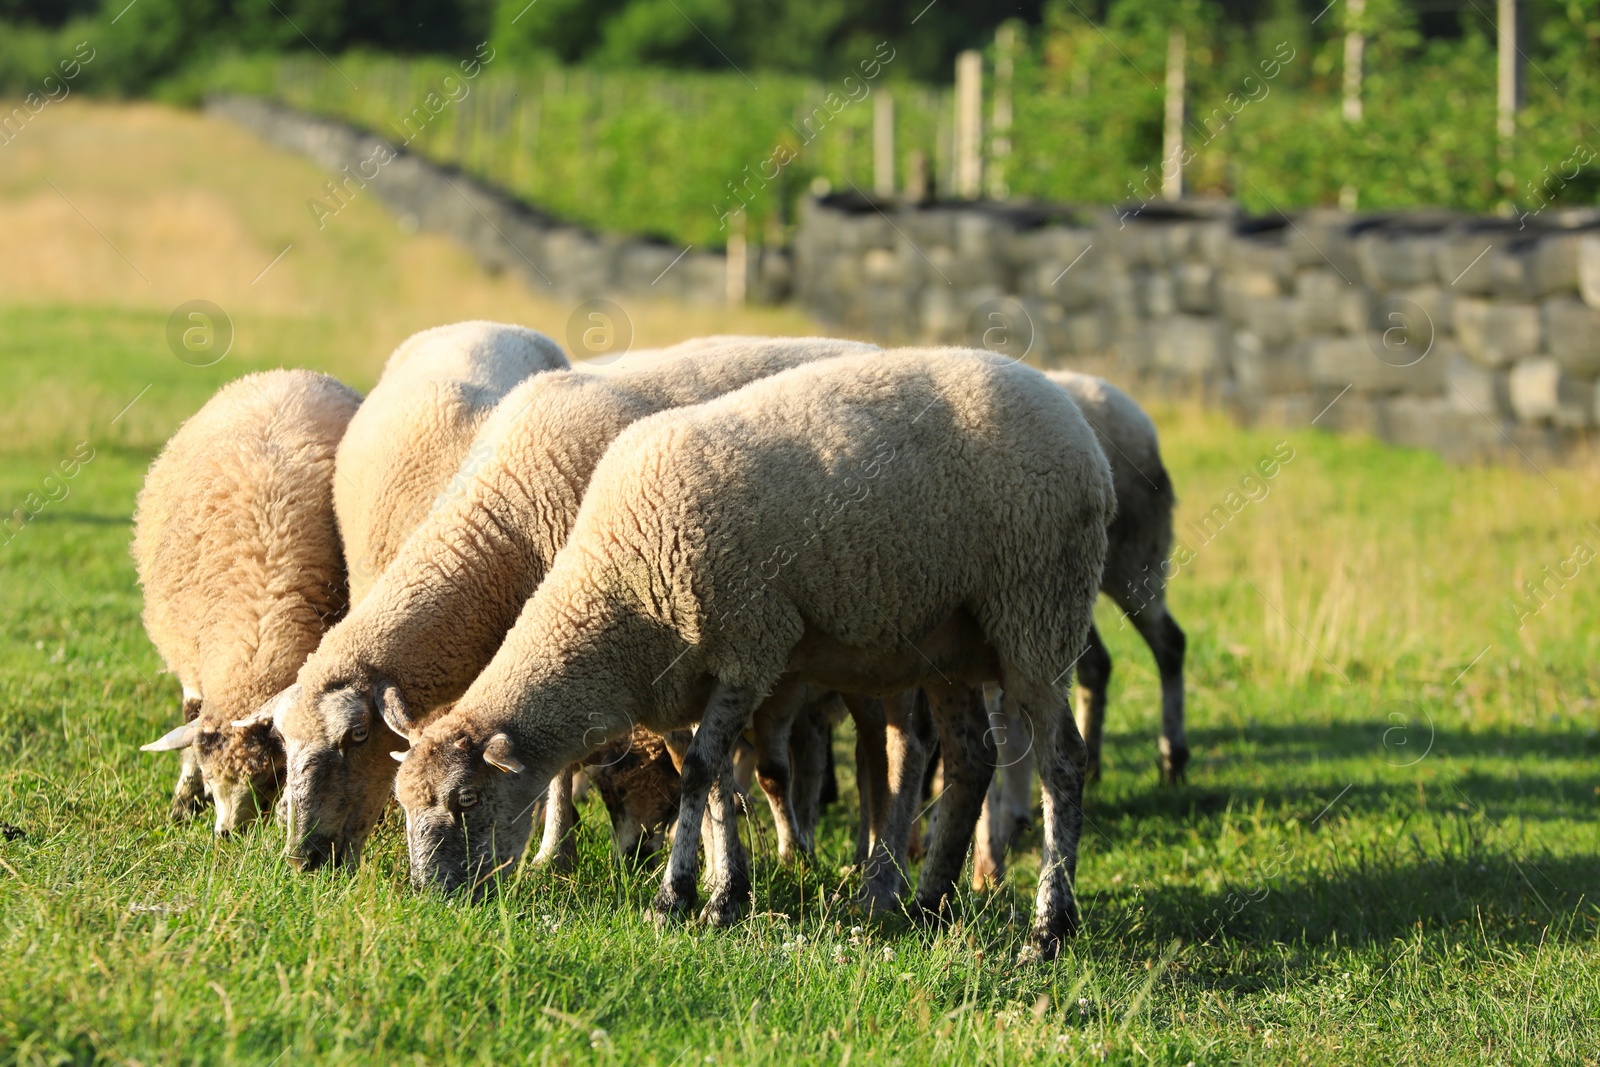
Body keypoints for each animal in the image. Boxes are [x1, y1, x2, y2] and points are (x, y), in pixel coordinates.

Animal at [135, 371, 363, 838]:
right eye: (210, 778)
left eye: (270, 778)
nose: (228, 835)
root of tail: (291, 373)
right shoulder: (192, 664)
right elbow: (191, 722)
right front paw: (184, 801)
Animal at [390, 350, 1113, 959]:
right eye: (403, 804)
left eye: (465, 800)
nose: (431, 897)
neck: (617, 586)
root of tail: (1076, 422)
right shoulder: (684, 681)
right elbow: (709, 783)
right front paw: (725, 890)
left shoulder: (749, 647)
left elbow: (701, 773)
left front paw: (678, 897)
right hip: (950, 641)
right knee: (970, 759)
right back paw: (930, 903)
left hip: (1037, 609)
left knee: (1060, 762)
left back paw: (1048, 929)